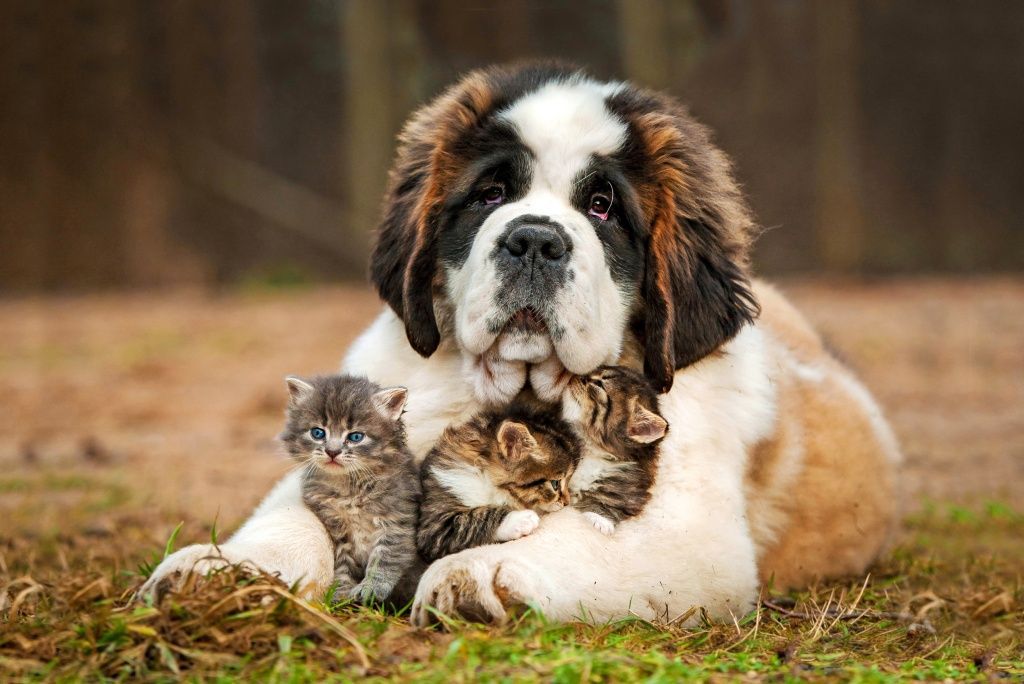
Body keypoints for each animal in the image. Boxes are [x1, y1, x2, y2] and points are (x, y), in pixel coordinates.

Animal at [280, 376, 419, 606]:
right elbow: (343, 564)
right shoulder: (338, 530)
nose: (332, 451)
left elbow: (385, 559)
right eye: (317, 433)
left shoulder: (396, 522)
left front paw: (371, 588)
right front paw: (341, 592)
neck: (348, 487)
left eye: (355, 437)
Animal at [413, 405, 577, 561]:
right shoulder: (435, 528)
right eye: (555, 484)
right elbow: (477, 517)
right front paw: (520, 520)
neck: (485, 479)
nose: (567, 502)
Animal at [561, 366, 671, 536]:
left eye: (599, 384)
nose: (575, 376)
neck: (591, 450)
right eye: (596, 370)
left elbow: (611, 502)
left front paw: (599, 520)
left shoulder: (629, 487)